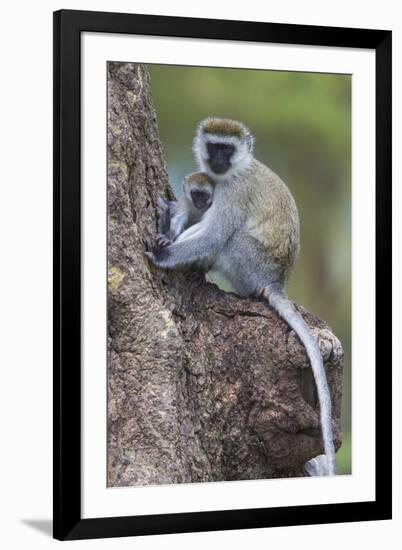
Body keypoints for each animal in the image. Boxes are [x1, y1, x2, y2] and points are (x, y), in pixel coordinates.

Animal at [147, 117, 336, 478]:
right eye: (214, 147)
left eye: (227, 149)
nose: (217, 161)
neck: (234, 172)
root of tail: (274, 282)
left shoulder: (232, 193)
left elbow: (215, 234)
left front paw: (164, 253)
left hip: (248, 263)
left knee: (228, 238)